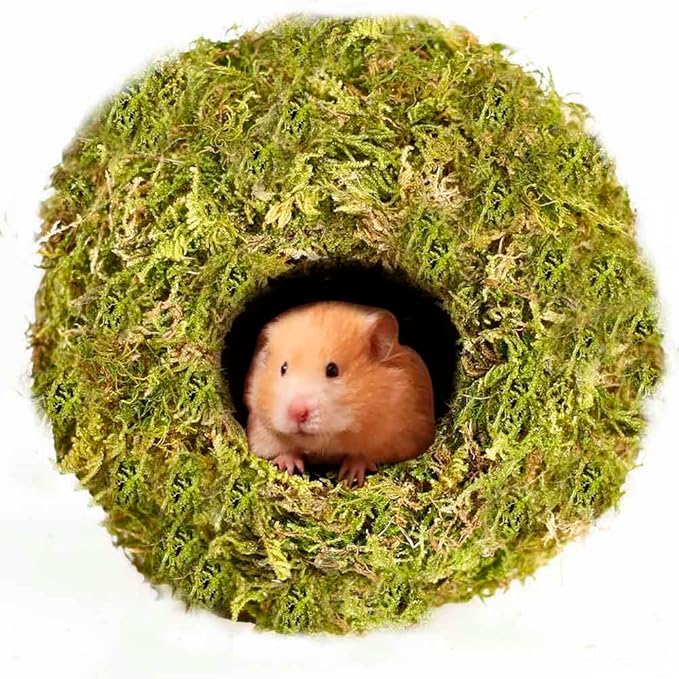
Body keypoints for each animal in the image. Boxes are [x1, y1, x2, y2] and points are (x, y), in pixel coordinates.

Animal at [244, 301, 435, 486]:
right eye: (283, 368)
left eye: (332, 370)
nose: (297, 412)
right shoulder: (260, 429)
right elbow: (284, 448)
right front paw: (287, 467)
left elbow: (363, 455)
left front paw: (350, 477)